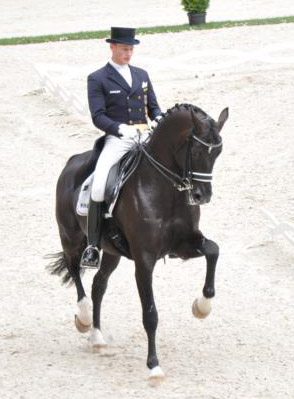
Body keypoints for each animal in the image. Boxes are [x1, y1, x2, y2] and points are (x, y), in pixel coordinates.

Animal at [48, 103, 229, 378]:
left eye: (218, 152)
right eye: (198, 150)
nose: (202, 196)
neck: (164, 188)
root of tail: (72, 163)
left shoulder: (184, 245)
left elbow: (213, 250)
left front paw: (202, 307)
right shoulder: (144, 260)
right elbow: (150, 314)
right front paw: (154, 366)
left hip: (111, 251)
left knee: (99, 284)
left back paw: (97, 337)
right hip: (70, 237)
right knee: (75, 271)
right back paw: (84, 319)